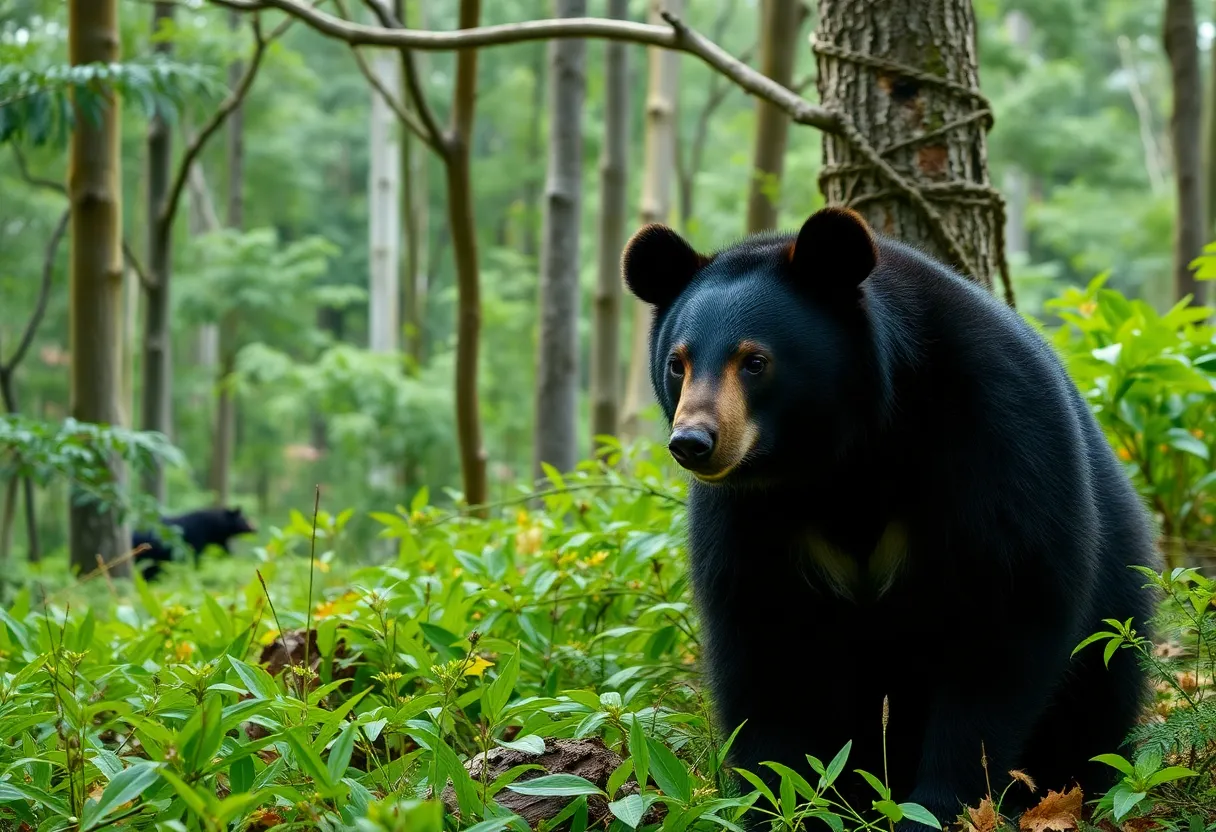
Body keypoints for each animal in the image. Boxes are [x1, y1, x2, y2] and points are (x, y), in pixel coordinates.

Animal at [621, 207, 1158, 828]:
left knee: (1101, 694)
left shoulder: (997, 431)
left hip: (1119, 593)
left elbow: (1006, 608)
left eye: (755, 362)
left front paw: (942, 804)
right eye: (677, 364)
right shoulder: (745, 510)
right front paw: (780, 801)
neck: (837, 458)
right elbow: (761, 635)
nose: (693, 442)